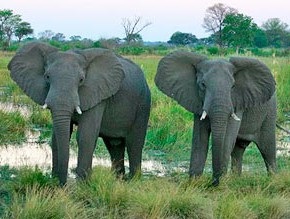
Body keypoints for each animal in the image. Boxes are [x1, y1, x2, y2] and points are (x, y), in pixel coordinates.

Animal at [7, 42, 151, 186]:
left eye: (81, 80)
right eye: (47, 77)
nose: (63, 185)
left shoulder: (97, 93)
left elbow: (85, 136)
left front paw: (83, 185)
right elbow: (57, 137)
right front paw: (55, 182)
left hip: (143, 104)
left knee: (134, 143)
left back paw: (133, 181)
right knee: (114, 144)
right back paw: (118, 180)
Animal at [155, 50, 278, 186]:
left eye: (233, 86)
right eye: (203, 85)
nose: (213, 182)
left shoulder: (237, 103)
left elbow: (227, 139)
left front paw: (219, 184)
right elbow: (199, 139)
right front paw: (194, 183)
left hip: (269, 114)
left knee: (267, 149)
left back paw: (273, 180)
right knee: (238, 150)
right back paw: (236, 179)